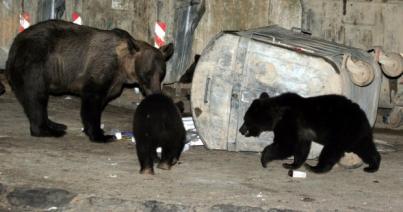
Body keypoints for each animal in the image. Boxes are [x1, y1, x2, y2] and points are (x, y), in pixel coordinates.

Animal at [5, 19, 174, 142]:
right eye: (146, 74)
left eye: (162, 74)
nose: (155, 93)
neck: (122, 68)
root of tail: (14, 45)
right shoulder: (101, 70)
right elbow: (91, 102)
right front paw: (101, 135)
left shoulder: (113, 82)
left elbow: (101, 101)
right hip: (35, 62)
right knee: (36, 96)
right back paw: (46, 130)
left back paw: (55, 125)